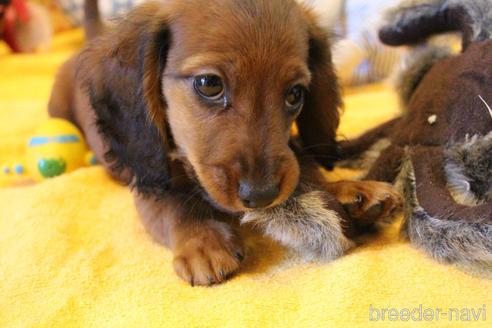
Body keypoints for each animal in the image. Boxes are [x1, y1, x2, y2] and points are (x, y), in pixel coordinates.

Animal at [49, 0, 400, 286]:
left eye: (295, 93)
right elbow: (174, 208)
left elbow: (305, 167)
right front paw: (203, 241)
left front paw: (346, 190)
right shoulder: (150, 183)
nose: (261, 196)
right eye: (209, 84)